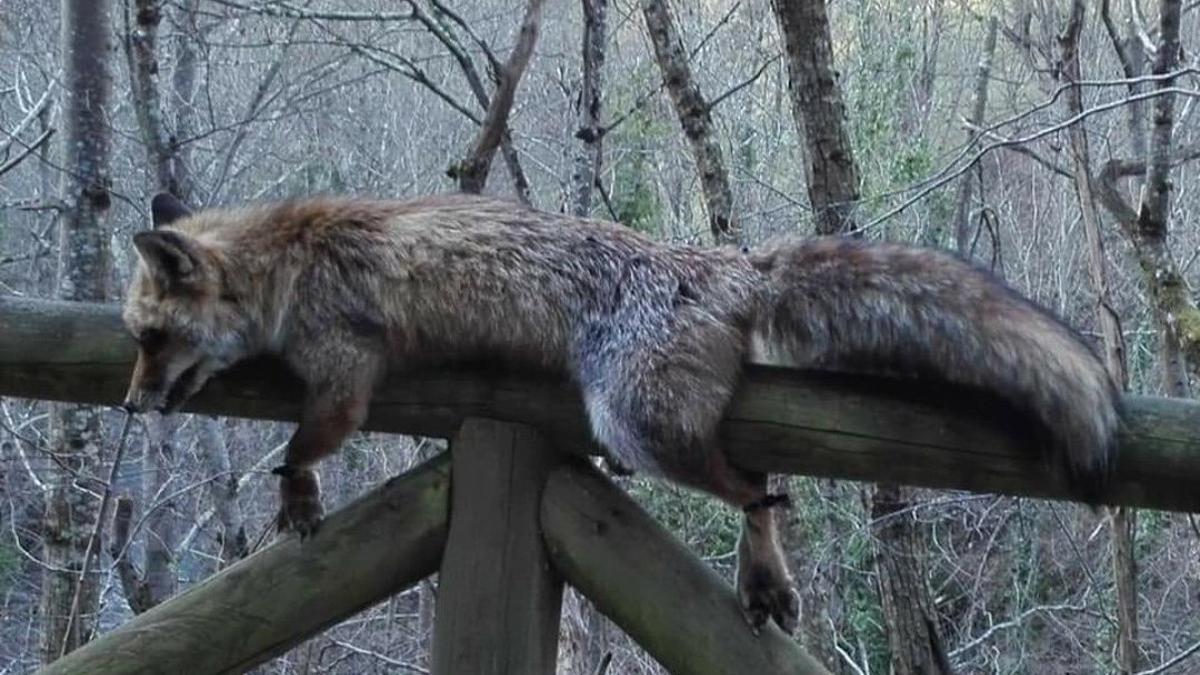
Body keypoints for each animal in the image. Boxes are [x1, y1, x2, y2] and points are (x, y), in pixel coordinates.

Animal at [124, 192, 1123, 634]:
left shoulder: (346, 372)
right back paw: (763, 578)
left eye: (149, 338)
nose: (132, 405)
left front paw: (295, 489)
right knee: (764, 482)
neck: (287, 260)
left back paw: (760, 551)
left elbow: (305, 440)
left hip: (633, 418)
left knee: (757, 482)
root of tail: (728, 263)